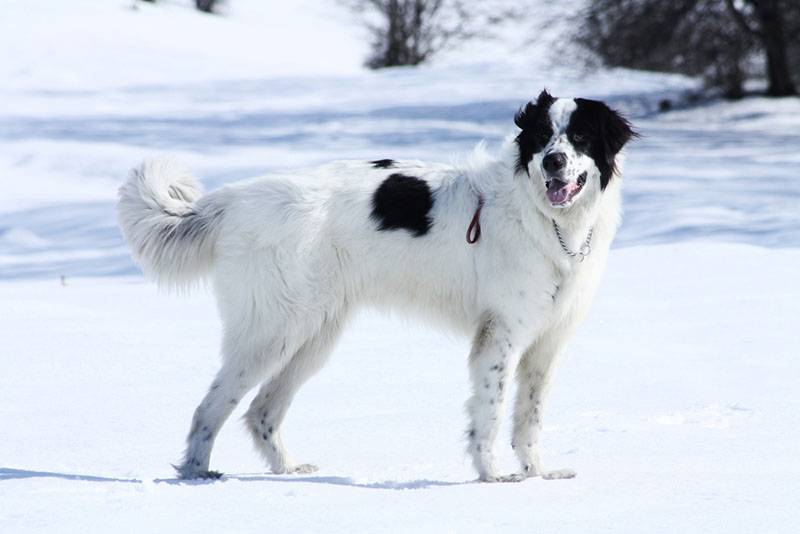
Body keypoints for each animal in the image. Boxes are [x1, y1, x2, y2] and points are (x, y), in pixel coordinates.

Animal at [115, 90, 636, 484]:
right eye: (543, 137)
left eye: (580, 136)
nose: (553, 162)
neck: (545, 219)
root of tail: (237, 199)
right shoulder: (501, 337)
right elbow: (489, 414)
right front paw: (492, 477)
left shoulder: (546, 345)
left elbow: (529, 418)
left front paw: (537, 475)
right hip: (271, 334)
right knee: (210, 408)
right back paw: (197, 475)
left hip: (312, 338)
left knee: (261, 410)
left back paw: (286, 469)